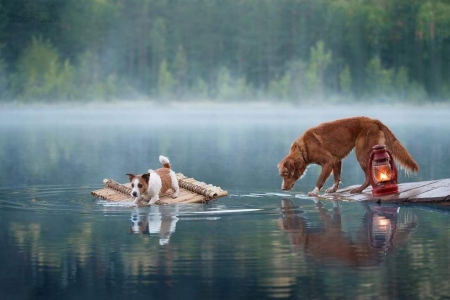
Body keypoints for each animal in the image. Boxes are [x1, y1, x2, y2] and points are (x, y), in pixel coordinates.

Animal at [276, 116, 420, 197]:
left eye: (286, 174)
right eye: (282, 175)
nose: (282, 188)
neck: (303, 149)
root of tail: (374, 121)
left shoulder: (328, 161)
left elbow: (320, 179)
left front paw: (314, 192)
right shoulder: (336, 160)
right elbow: (337, 177)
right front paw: (333, 189)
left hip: (361, 153)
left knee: (368, 177)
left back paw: (357, 190)